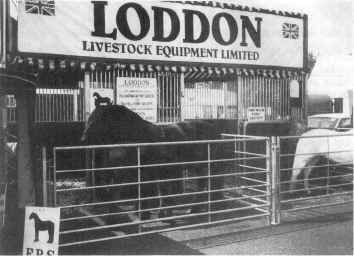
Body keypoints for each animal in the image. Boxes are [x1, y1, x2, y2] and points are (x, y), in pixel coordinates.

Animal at [81, 105, 223, 219]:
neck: (139, 137)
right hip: (199, 167)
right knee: (205, 184)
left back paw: (199, 208)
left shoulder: (146, 172)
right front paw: (142, 212)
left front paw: (145, 214)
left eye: (96, 120)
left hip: (204, 166)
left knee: (206, 184)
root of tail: (213, 129)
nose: (83, 139)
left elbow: (146, 192)